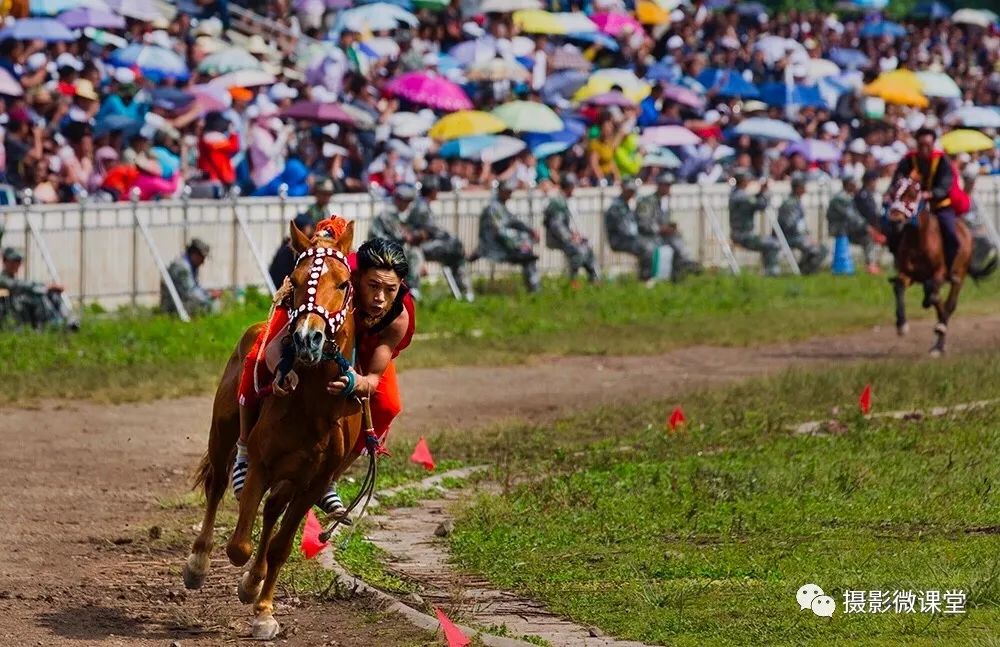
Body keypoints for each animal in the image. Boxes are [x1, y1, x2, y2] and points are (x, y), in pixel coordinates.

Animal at [183, 220, 364, 640]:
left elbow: (281, 545)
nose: (308, 338)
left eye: (344, 283)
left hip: (290, 479)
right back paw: (199, 563)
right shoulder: (263, 465)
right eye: (294, 282)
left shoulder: (312, 482)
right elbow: (239, 547)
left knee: (271, 513)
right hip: (223, 433)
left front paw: (262, 607)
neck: (313, 409)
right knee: (218, 484)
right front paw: (246, 583)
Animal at [888, 177, 980, 356]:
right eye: (893, 193)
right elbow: (899, 287)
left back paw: (940, 335)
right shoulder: (908, 274)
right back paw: (939, 342)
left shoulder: (940, 272)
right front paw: (902, 324)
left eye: (912, 194)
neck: (917, 239)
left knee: (949, 303)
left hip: (960, 273)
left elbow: (933, 291)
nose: (894, 220)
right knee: (939, 303)